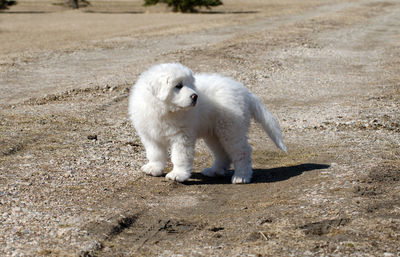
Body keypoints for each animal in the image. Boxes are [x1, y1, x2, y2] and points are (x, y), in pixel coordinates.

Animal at [130, 62, 286, 183]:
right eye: (178, 85)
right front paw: (154, 168)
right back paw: (215, 171)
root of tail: (244, 91)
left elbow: (180, 156)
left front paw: (178, 174)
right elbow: (154, 153)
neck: (164, 110)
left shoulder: (182, 136)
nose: (195, 96)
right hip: (215, 134)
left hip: (231, 129)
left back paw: (241, 176)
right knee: (223, 154)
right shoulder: (150, 135)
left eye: (190, 84)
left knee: (242, 152)